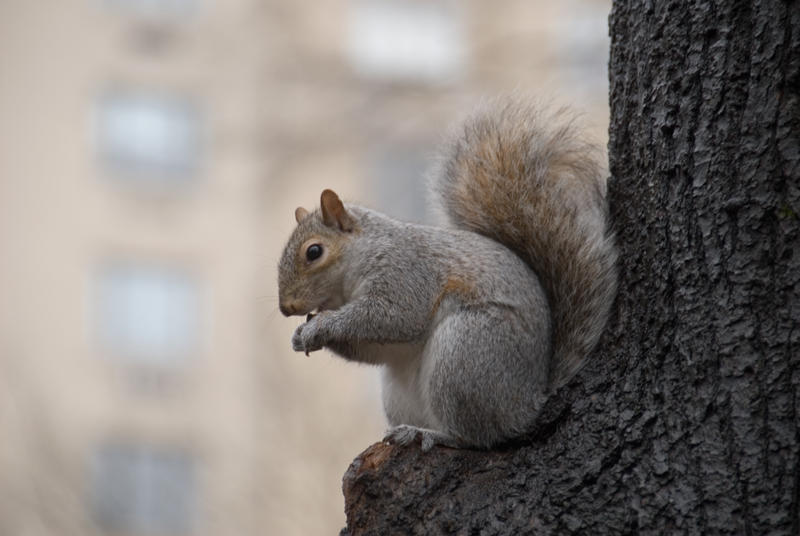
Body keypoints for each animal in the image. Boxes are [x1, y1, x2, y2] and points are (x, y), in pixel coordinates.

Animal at [278, 99, 616, 448]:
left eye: (313, 252)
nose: (286, 308)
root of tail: (528, 404)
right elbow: (373, 347)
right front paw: (300, 335)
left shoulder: (406, 273)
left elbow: (392, 317)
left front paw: (320, 326)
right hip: (403, 390)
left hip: (464, 355)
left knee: (478, 436)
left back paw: (430, 434)